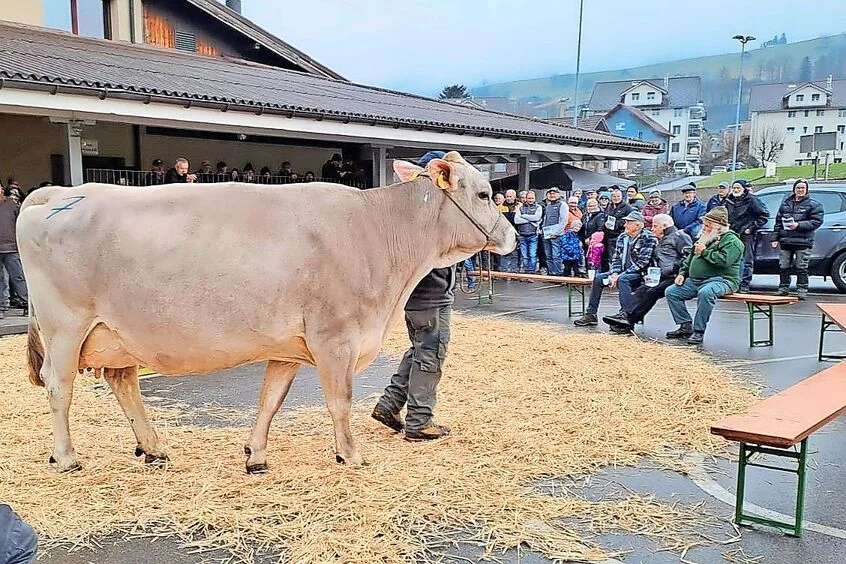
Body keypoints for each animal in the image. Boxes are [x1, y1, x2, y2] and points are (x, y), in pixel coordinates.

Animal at [18, 151, 517, 474]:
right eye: (485, 193)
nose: (511, 236)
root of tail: (56, 193)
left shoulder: (289, 347)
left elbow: (270, 400)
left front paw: (255, 455)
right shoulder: (334, 338)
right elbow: (340, 400)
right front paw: (350, 454)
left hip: (117, 335)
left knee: (123, 384)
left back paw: (154, 448)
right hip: (66, 328)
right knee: (59, 387)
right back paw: (66, 458)